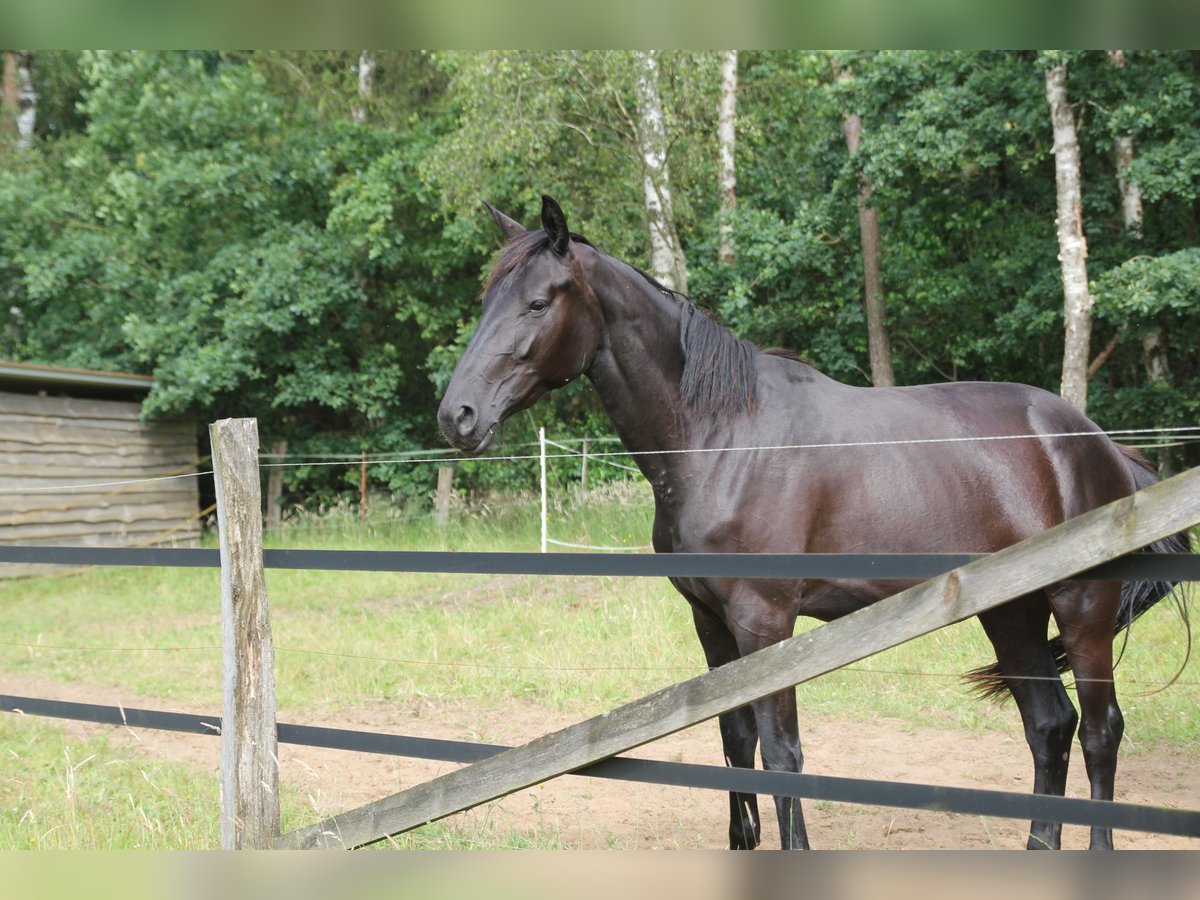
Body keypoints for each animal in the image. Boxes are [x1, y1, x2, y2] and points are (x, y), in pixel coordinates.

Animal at [436, 195, 1185, 854]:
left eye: (538, 302)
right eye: (486, 301)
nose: (457, 416)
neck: (721, 437)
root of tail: (1097, 443)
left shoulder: (765, 623)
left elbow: (782, 753)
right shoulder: (712, 623)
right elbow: (735, 743)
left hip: (1081, 606)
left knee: (1099, 731)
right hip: (1013, 612)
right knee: (1049, 727)